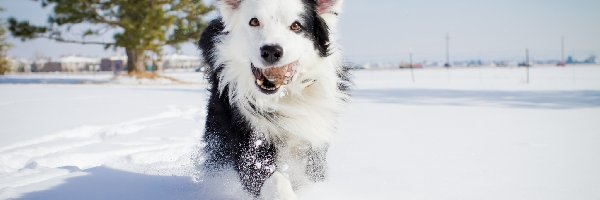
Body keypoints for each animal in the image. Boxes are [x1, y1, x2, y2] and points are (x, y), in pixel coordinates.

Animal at [198, 0, 346, 198]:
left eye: (296, 26)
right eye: (254, 21)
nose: (271, 51)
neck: (284, 99)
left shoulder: (313, 142)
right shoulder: (249, 139)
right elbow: (274, 179)